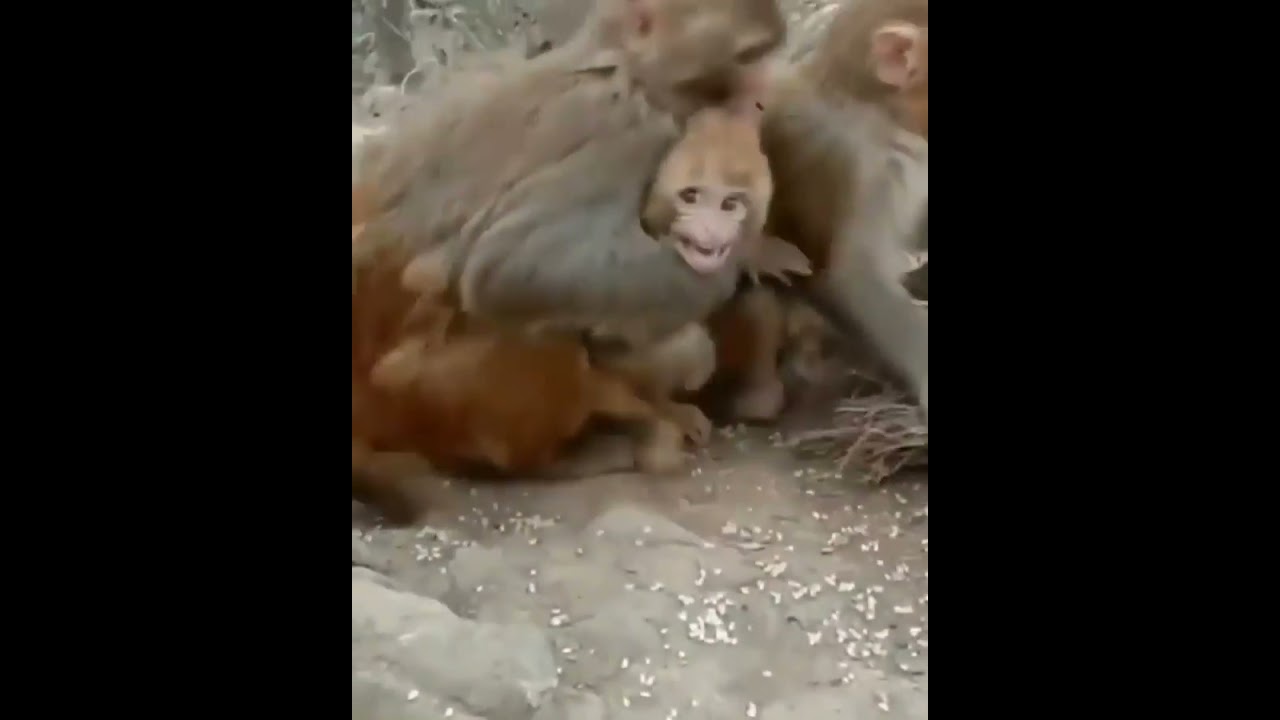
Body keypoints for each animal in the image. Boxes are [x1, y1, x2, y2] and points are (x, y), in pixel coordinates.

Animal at [350, 0, 788, 522]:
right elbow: (515, 267)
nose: (764, 92)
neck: (623, 67)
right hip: (420, 399)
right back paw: (554, 459)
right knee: (530, 325)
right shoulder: (625, 130)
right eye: (748, 56)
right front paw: (740, 258)